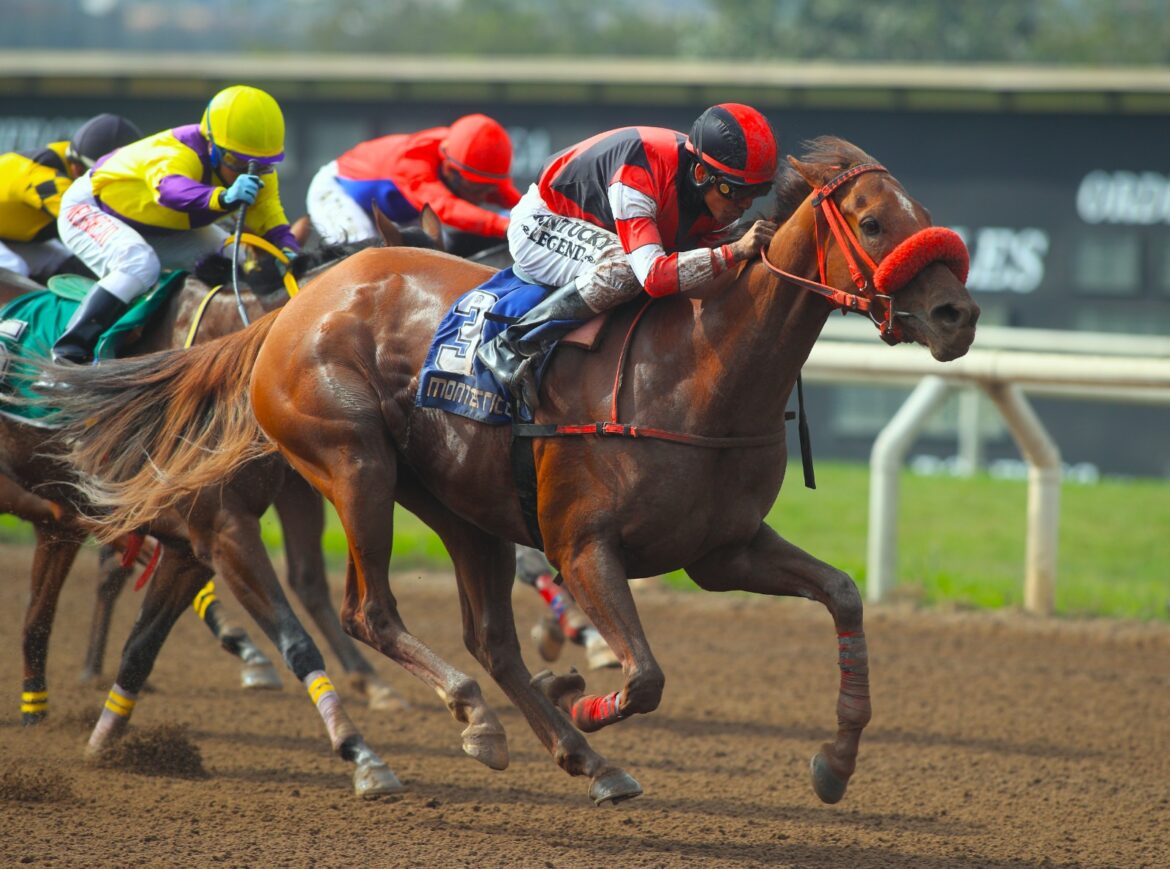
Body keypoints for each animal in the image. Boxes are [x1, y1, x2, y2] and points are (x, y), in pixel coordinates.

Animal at [36, 137, 978, 809]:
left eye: (922, 209)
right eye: (873, 222)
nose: (957, 314)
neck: (698, 367)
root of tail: (286, 310)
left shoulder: (725, 550)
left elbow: (845, 596)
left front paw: (836, 759)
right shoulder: (584, 543)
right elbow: (644, 675)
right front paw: (583, 695)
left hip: (463, 506)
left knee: (485, 634)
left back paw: (569, 747)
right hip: (354, 463)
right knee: (368, 608)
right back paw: (476, 722)